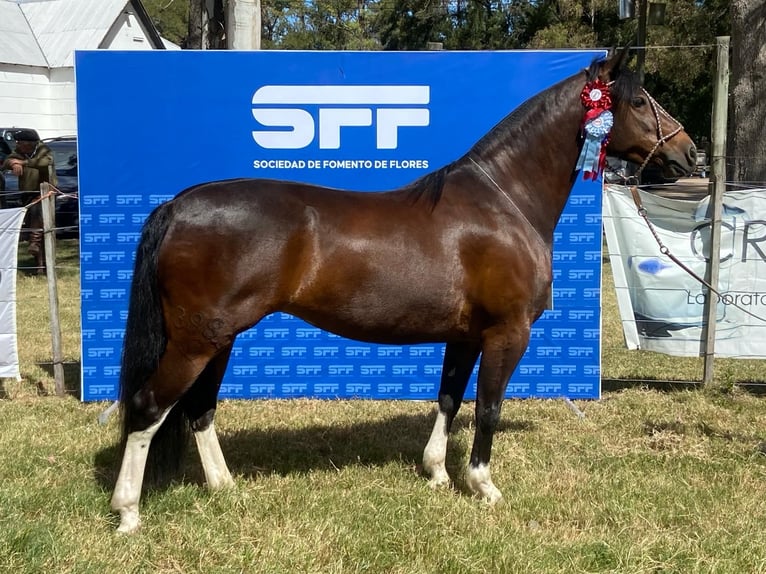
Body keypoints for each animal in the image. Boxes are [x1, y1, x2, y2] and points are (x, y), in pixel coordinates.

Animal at [110, 48, 697, 533]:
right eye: (639, 101)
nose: (690, 154)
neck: (504, 200)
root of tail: (177, 205)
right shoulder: (507, 333)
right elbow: (488, 407)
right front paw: (483, 486)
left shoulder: (465, 335)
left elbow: (449, 398)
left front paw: (436, 473)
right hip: (196, 339)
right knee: (148, 407)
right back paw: (128, 514)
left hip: (219, 338)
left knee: (199, 408)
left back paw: (226, 489)